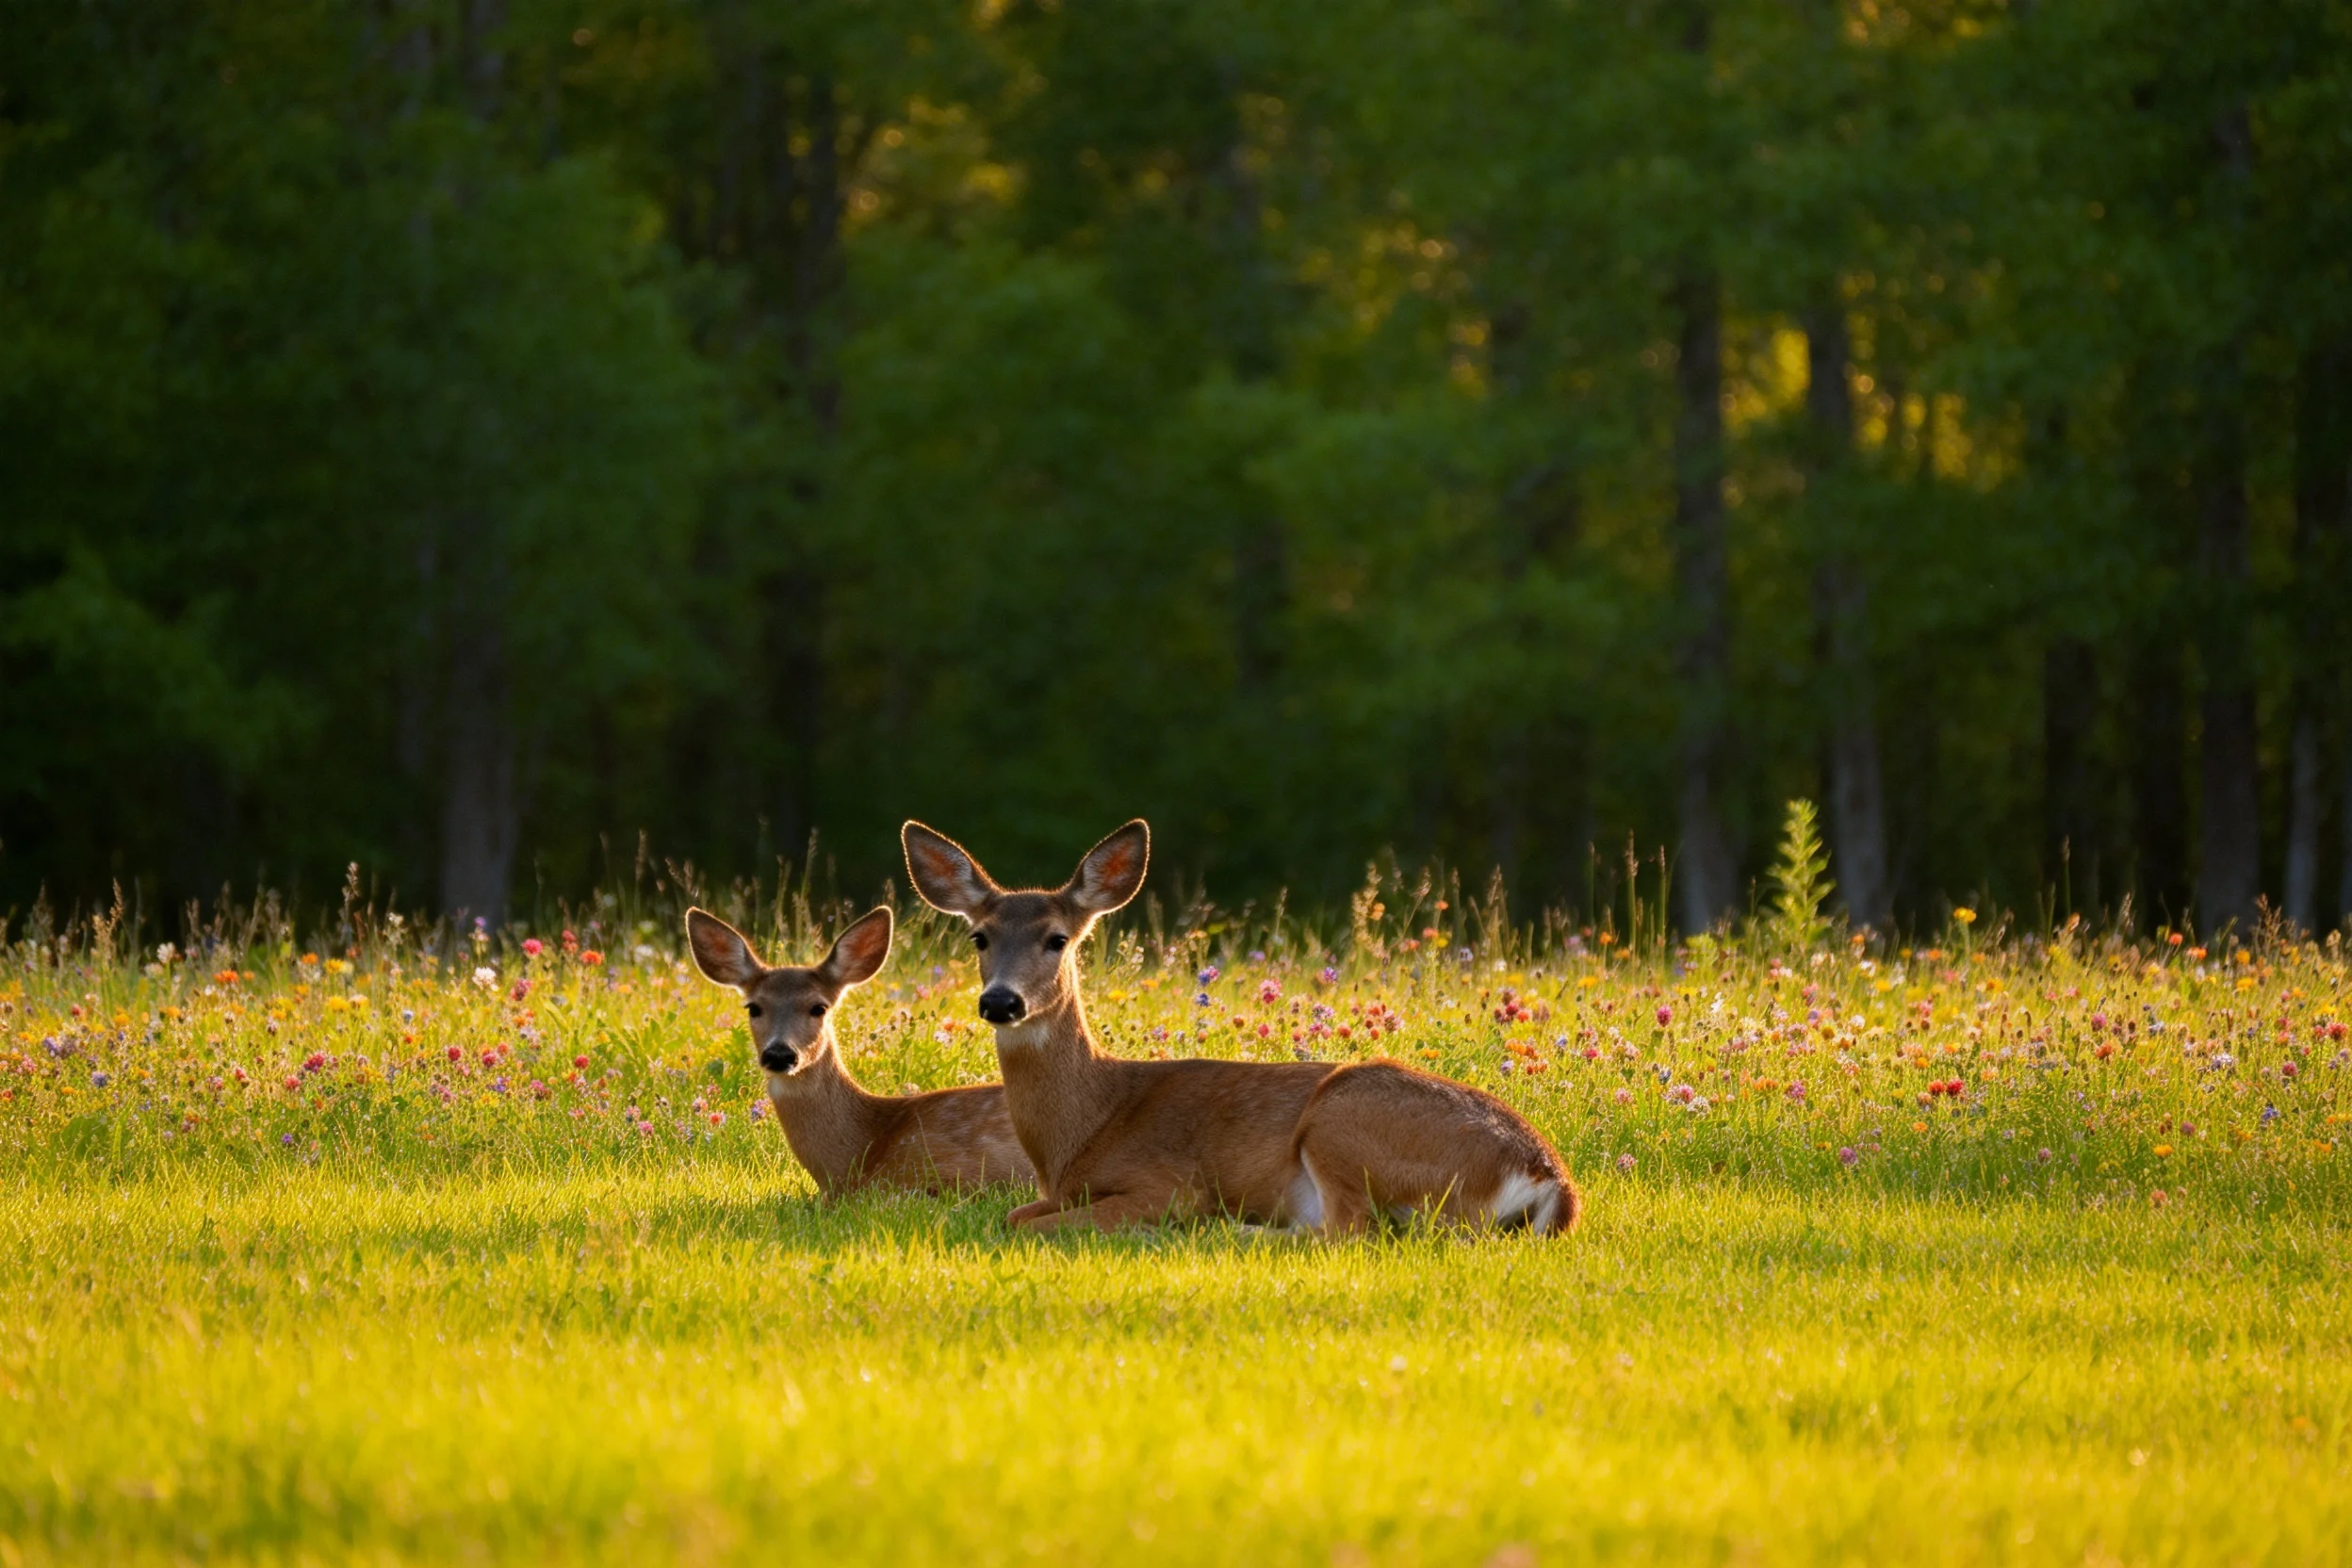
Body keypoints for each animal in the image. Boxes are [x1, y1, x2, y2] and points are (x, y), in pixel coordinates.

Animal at [901, 818, 1578, 1237]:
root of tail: (1550, 1179)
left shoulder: (1165, 1182)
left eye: (1057, 939)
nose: (1001, 1001)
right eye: (979, 937)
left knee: (1348, 1232)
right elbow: (1017, 1213)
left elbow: (1033, 1222)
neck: (1082, 1129)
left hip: (1344, 1119)